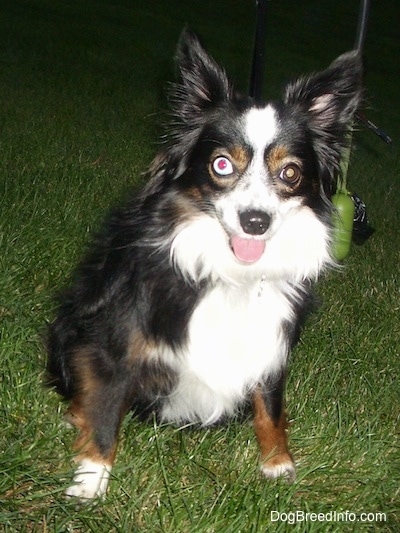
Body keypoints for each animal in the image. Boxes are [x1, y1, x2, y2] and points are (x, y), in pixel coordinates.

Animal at [47, 30, 362, 498]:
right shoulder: (112, 341)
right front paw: (90, 481)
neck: (234, 275)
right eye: (222, 164)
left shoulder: (271, 343)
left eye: (290, 173)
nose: (255, 221)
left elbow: (270, 405)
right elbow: (105, 409)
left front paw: (278, 465)